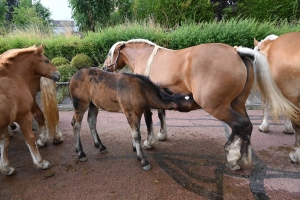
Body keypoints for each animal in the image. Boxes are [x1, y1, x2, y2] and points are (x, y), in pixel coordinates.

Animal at [0, 44, 61, 175]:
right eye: (46, 60)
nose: (58, 74)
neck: (12, 78)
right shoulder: (15, 119)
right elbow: (5, 142)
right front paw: (6, 167)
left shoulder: (23, 115)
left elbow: (28, 139)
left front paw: (40, 163)